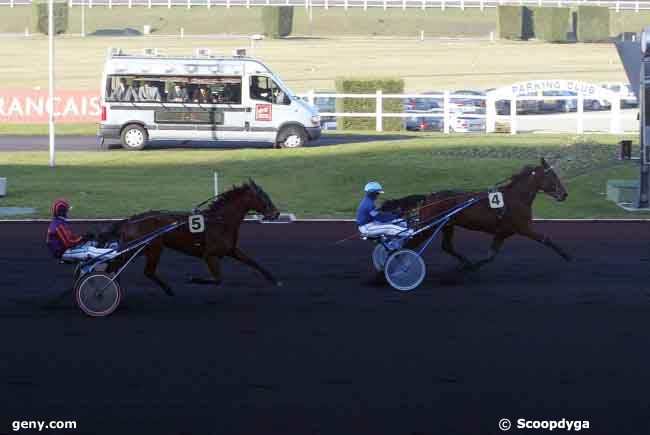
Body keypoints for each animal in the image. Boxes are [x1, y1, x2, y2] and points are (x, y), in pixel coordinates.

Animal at [101, 179, 280, 298]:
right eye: (263, 197)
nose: (276, 213)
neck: (220, 220)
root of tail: (130, 220)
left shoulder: (231, 250)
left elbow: (253, 262)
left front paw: (274, 280)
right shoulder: (210, 256)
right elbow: (218, 279)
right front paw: (193, 279)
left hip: (142, 249)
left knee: (121, 266)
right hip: (151, 248)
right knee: (142, 271)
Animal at [378, 158, 568, 270]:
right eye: (552, 176)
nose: (564, 194)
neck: (516, 197)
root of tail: (428, 197)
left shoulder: (502, 233)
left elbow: (490, 256)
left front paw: (473, 265)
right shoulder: (524, 228)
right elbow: (546, 239)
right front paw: (567, 255)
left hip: (447, 225)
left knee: (447, 246)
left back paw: (465, 262)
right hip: (429, 227)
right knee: (409, 244)